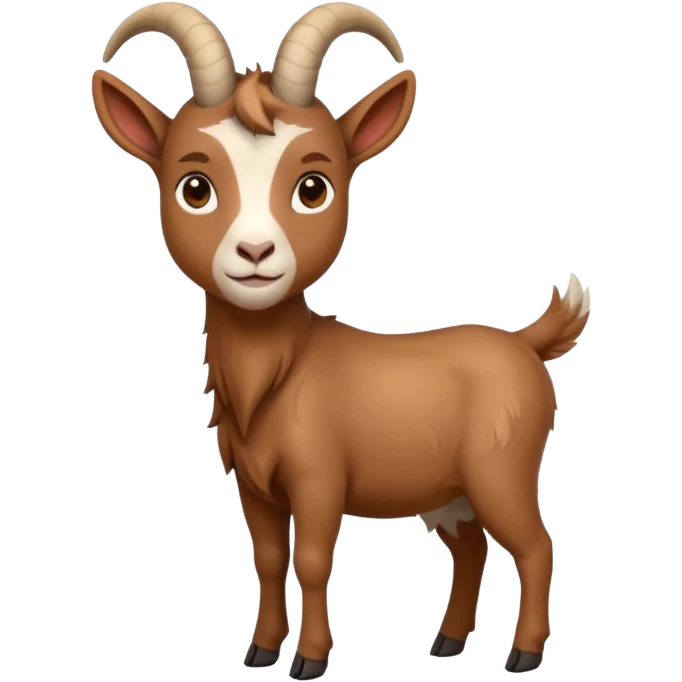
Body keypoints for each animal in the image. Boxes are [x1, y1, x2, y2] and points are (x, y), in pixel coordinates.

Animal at [91, 1, 591, 678]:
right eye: (194, 186)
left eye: (313, 187)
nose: (255, 253)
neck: (281, 373)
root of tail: (525, 344)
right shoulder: (255, 487)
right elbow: (268, 560)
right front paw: (260, 650)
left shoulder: (318, 478)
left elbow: (311, 560)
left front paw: (308, 659)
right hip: (449, 492)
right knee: (471, 547)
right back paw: (446, 643)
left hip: (501, 471)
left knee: (536, 546)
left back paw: (523, 653)